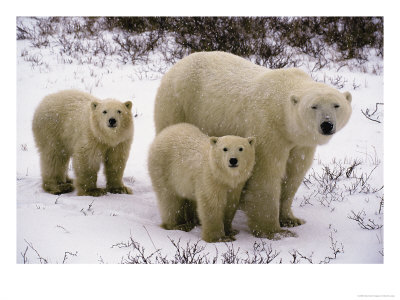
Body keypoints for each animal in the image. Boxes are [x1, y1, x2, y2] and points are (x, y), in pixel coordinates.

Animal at [153, 51, 350, 239]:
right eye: (314, 106)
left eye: (336, 105)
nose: (326, 125)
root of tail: (176, 65)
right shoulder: (267, 128)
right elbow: (266, 175)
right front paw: (273, 231)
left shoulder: (300, 143)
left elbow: (294, 174)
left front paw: (291, 219)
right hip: (178, 105)